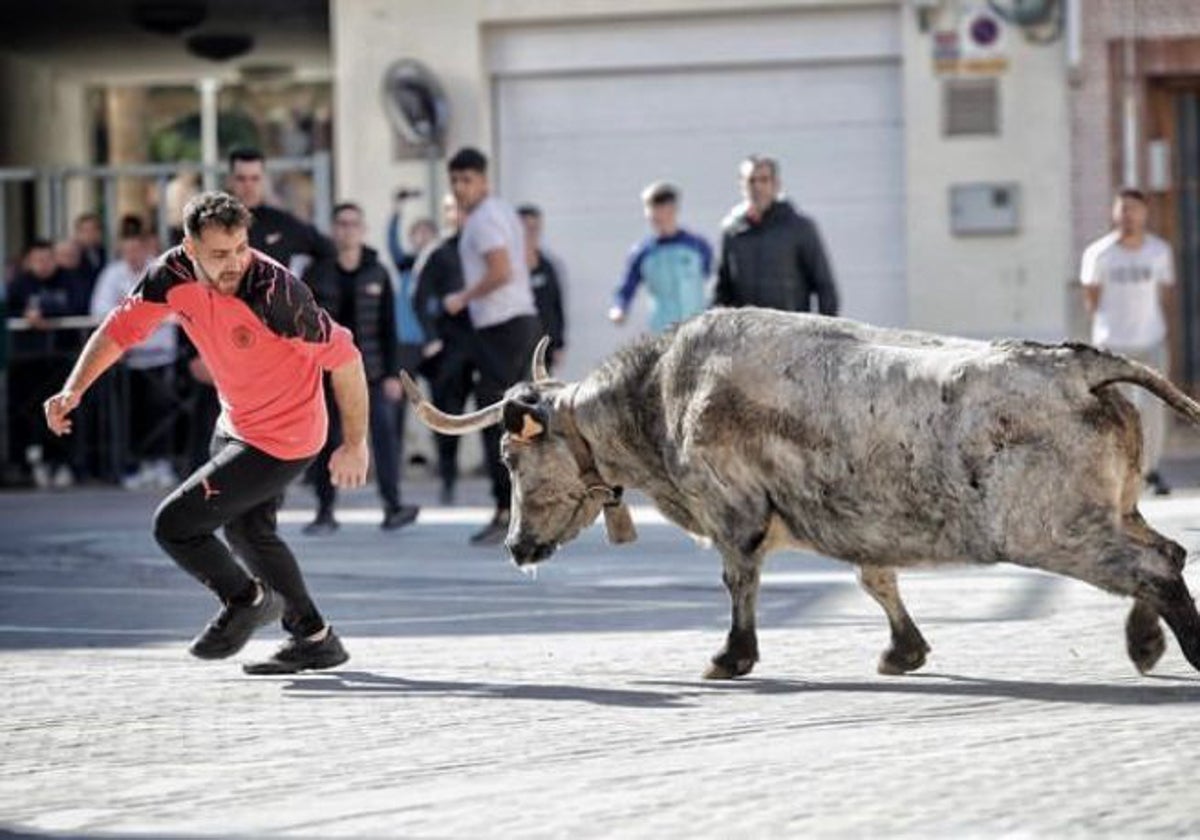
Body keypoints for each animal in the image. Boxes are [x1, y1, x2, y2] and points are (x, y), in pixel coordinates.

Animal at [403, 312, 1200, 681]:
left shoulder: (734, 511)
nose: (516, 546)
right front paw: (904, 651)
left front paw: (732, 656)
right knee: (1165, 551)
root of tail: (1080, 366)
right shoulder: (853, 522)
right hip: (1107, 510)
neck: (661, 394)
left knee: (1154, 565)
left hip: (1051, 527)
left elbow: (739, 580)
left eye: (510, 455)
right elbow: (876, 579)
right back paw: (1145, 640)